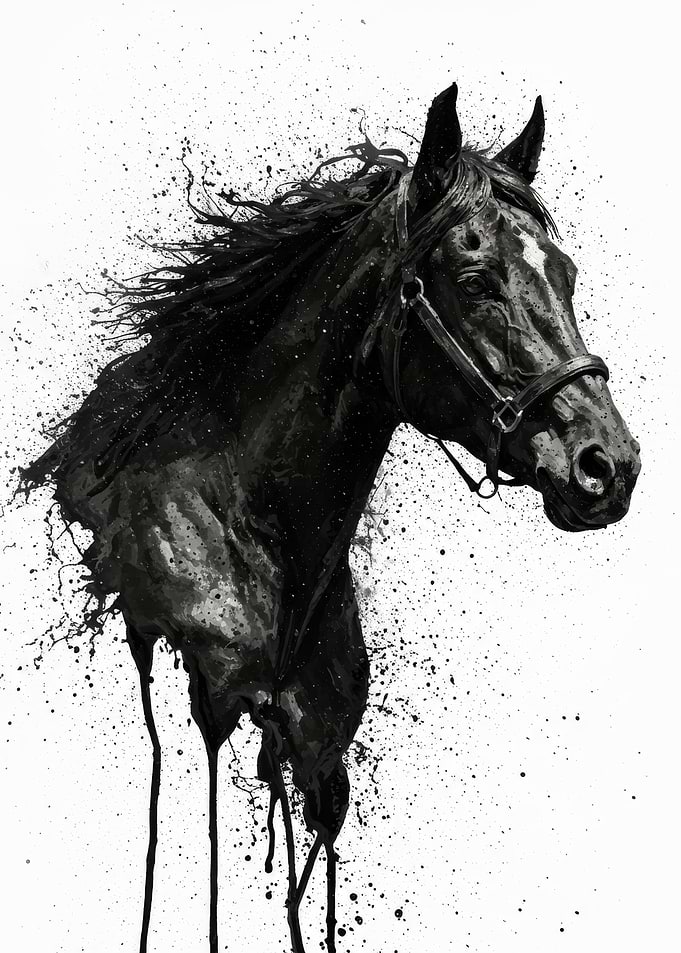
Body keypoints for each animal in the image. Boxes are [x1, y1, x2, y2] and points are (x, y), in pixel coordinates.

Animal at [22, 83, 640, 953]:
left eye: (567, 275)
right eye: (476, 279)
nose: (607, 465)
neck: (248, 542)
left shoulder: (319, 771)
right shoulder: (192, 728)